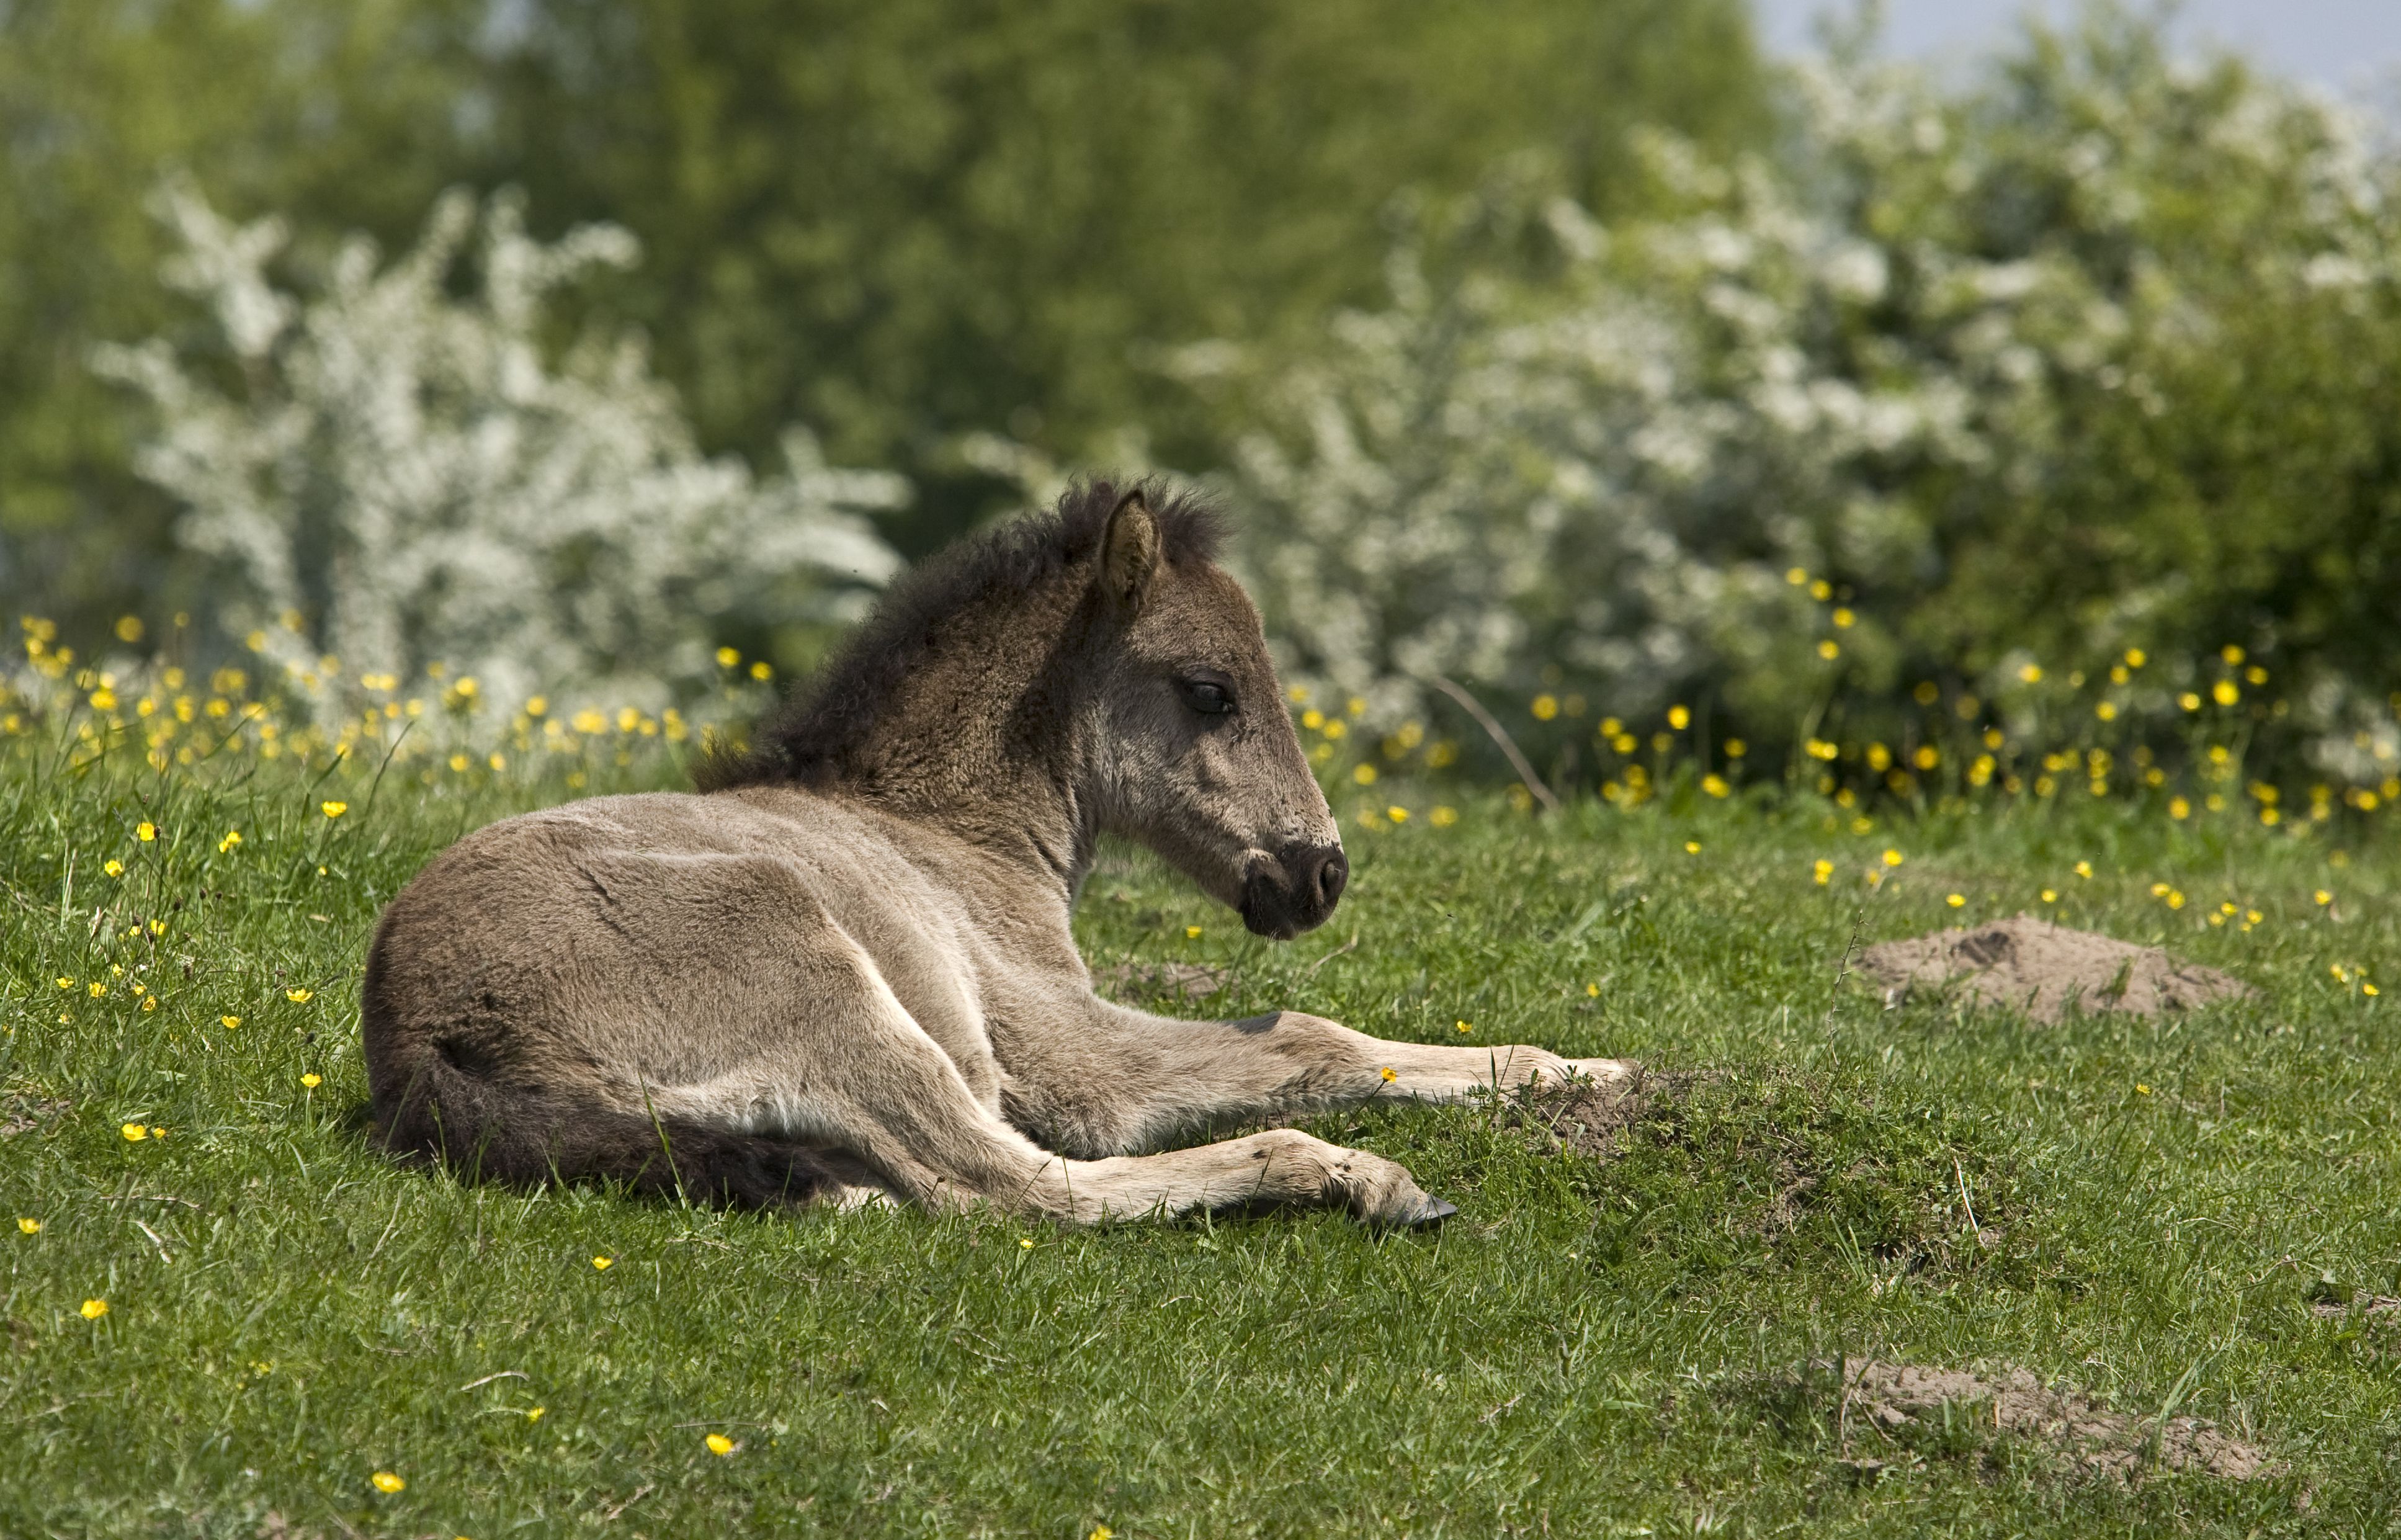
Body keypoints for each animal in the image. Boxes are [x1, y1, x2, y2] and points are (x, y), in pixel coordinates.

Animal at [360, 480, 1632, 1225]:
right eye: (1210, 690)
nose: (1319, 873)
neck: (946, 838)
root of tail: (418, 1029)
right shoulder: (1064, 1049)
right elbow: (1305, 1036)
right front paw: (1584, 1070)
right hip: (811, 965)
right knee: (1015, 1188)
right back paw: (1353, 1178)